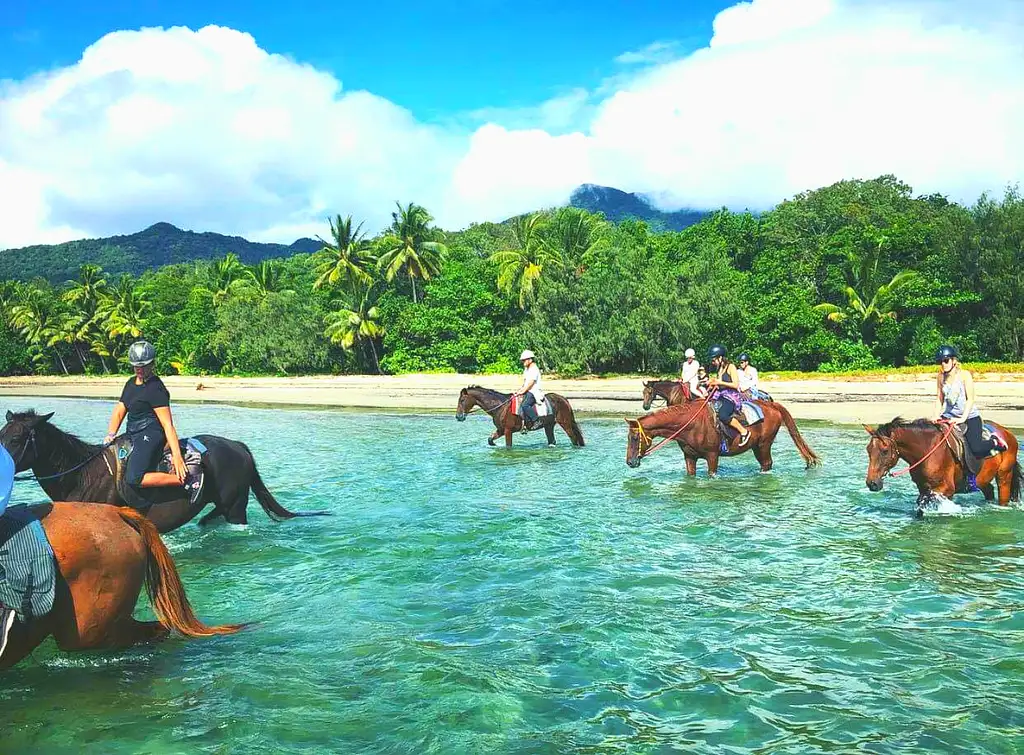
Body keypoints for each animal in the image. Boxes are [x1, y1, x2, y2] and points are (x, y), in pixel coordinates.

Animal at [456, 383, 585, 446]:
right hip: (549, 425)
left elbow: (508, 446)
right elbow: (490, 440)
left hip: (565, 423)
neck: (501, 406)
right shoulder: (501, 430)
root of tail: (564, 399)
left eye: (462, 400)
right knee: (552, 441)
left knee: (573, 438)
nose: (458, 416)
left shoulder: (508, 431)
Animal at [622, 391, 815, 473]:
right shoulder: (689, 457)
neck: (690, 425)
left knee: (767, 464)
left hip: (764, 445)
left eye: (635, 437)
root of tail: (772, 406)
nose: (630, 462)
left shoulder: (712, 456)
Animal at [864, 415, 1024, 516]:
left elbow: (924, 503)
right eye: (868, 450)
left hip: (1004, 476)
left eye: (885, 451)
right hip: (982, 480)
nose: (872, 483)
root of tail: (1008, 433)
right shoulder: (924, 488)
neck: (927, 449)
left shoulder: (946, 489)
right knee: (989, 490)